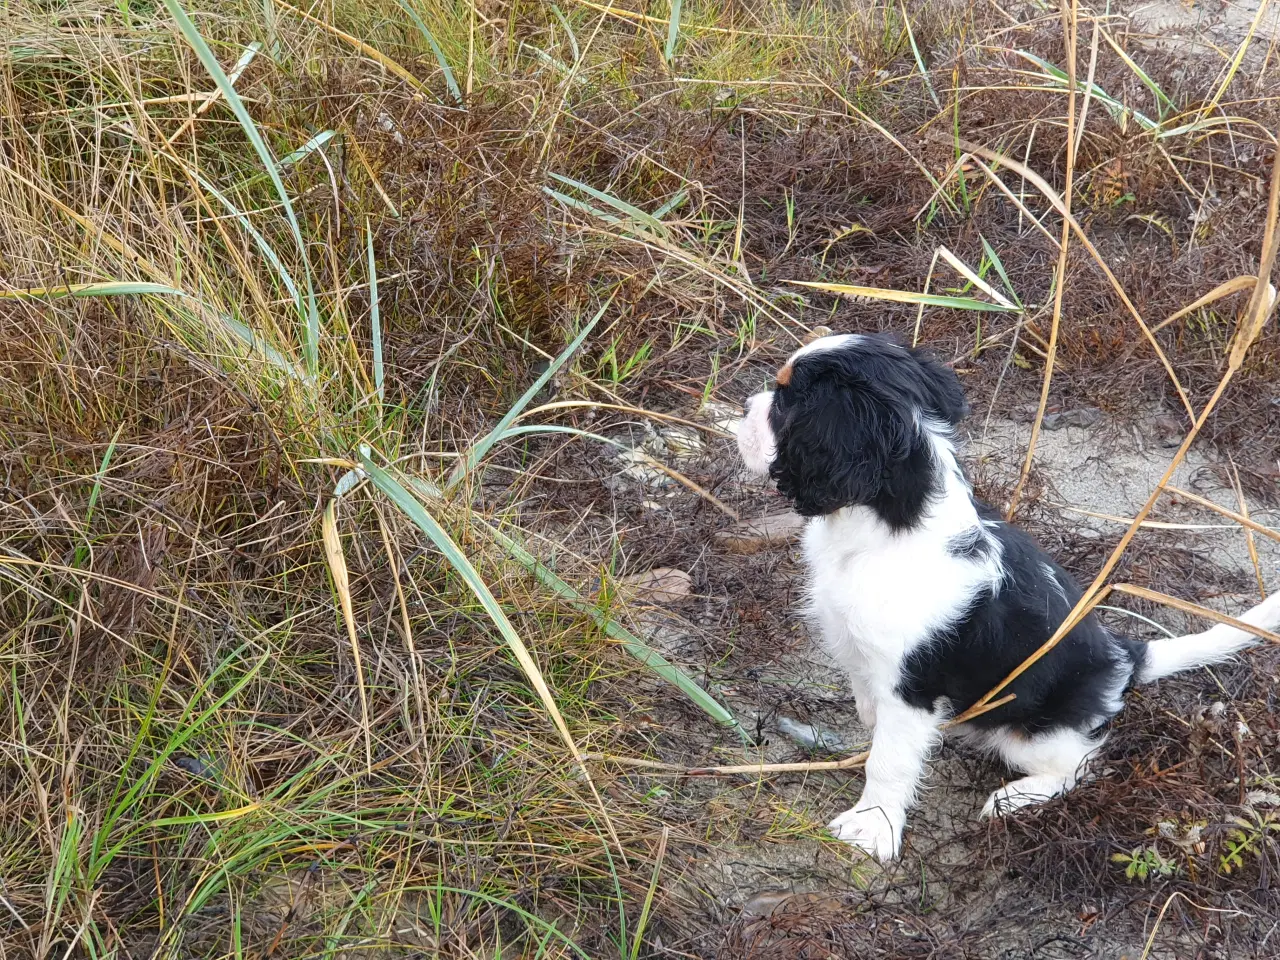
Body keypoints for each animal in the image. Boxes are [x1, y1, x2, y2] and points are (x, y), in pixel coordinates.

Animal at [732, 332, 1280, 865]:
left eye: (784, 400)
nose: (742, 404)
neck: (884, 527)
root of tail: (1125, 657)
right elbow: (871, 709)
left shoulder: (911, 688)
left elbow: (889, 761)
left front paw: (872, 828)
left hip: (1029, 730)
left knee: (1080, 766)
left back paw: (1012, 798)